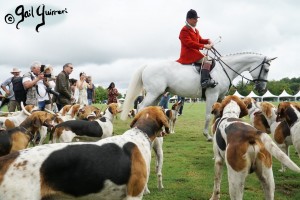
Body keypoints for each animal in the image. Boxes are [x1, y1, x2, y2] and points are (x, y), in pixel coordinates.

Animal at [120, 53, 276, 141]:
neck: (223, 70)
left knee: (151, 108)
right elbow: (208, 116)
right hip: (153, 92)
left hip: (157, 94)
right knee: (140, 107)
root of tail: (147, 65)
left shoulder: (221, 96)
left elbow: (220, 115)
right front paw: (207, 135)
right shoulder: (212, 95)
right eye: (266, 69)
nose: (262, 89)